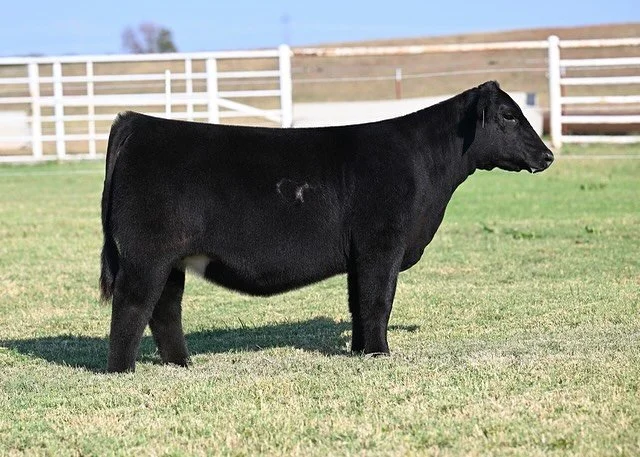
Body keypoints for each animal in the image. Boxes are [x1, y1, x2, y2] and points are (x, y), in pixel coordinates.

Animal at [100, 81, 553, 373]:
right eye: (509, 116)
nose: (547, 155)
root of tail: (138, 122)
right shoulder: (381, 244)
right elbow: (378, 300)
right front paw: (380, 355)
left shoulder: (360, 254)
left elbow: (359, 303)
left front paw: (361, 351)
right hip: (147, 253)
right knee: (133, 304)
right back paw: (121, 371)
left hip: (172, 258)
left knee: (165, 308)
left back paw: (181, 363)